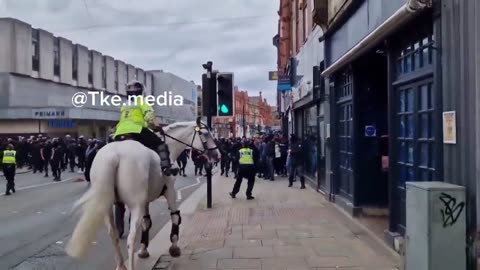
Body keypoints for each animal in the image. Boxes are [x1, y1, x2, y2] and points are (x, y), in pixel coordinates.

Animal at [65, 118, 219, 270]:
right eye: (206, 134)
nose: (217, 155)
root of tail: (115, 155)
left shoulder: (145, 199)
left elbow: (147, 222)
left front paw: (144, 250)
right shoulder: (170, 190)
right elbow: (175, 217)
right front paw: (174, 248)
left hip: (107, 205)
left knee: (113, 234)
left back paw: (121, 265)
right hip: (135, 204)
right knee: (131, 238)